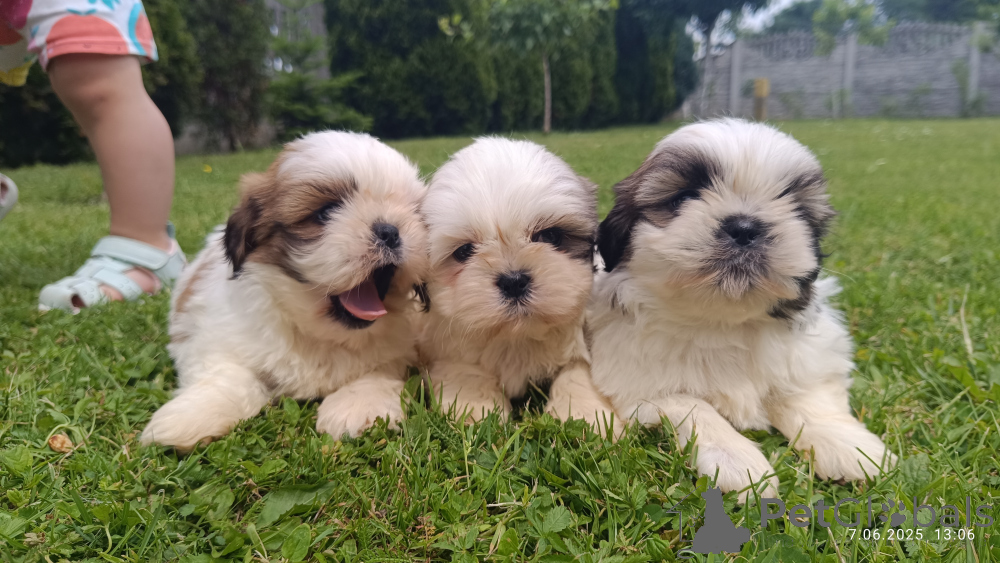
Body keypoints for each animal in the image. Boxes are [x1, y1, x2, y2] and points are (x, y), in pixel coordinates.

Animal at [141, 131, 429, 451]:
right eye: (326, 211)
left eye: (417, 214)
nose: (390, 231)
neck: (319, 335)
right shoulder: (213, 338)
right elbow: (230, 374)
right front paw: (191, 415)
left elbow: (379, 370)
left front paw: (358, 406)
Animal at [418, 137, 616, 433]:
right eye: (464, 252)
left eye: (550, 236)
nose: (513, 281)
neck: (516, 337)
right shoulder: (447, 345)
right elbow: (464, 369)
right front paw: (476, 408)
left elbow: (579, 370)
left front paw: (587, 417)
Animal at [588, 119, 895, 500]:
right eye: (682, 198)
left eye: (795, 208)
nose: (745, 227)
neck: (721, 320)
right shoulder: (641, 385)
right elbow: (691, 404)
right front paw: (739, 461)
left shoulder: (808, 357)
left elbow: (807, 395)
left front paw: (849, 446)